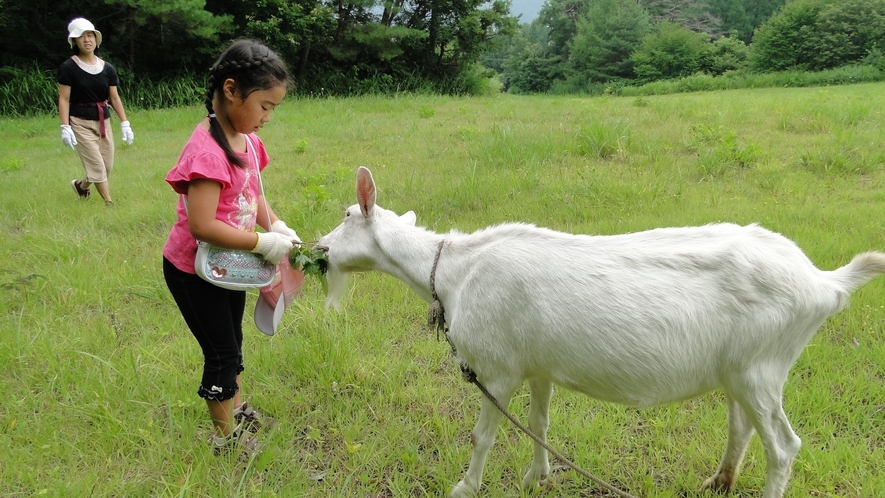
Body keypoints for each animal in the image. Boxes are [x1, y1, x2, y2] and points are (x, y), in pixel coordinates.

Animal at [316, 167, 884, 498]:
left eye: (345, 214)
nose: (317, 248)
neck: (455, 270)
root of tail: (825, 283)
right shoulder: (537, 364)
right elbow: (539, 423)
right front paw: (536, 477)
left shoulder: (497, 369)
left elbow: (483, 435)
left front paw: (465, 486)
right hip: (741, 369)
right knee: (742, 426)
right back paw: (719, 481)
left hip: (761, 366)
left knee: (784, 447)